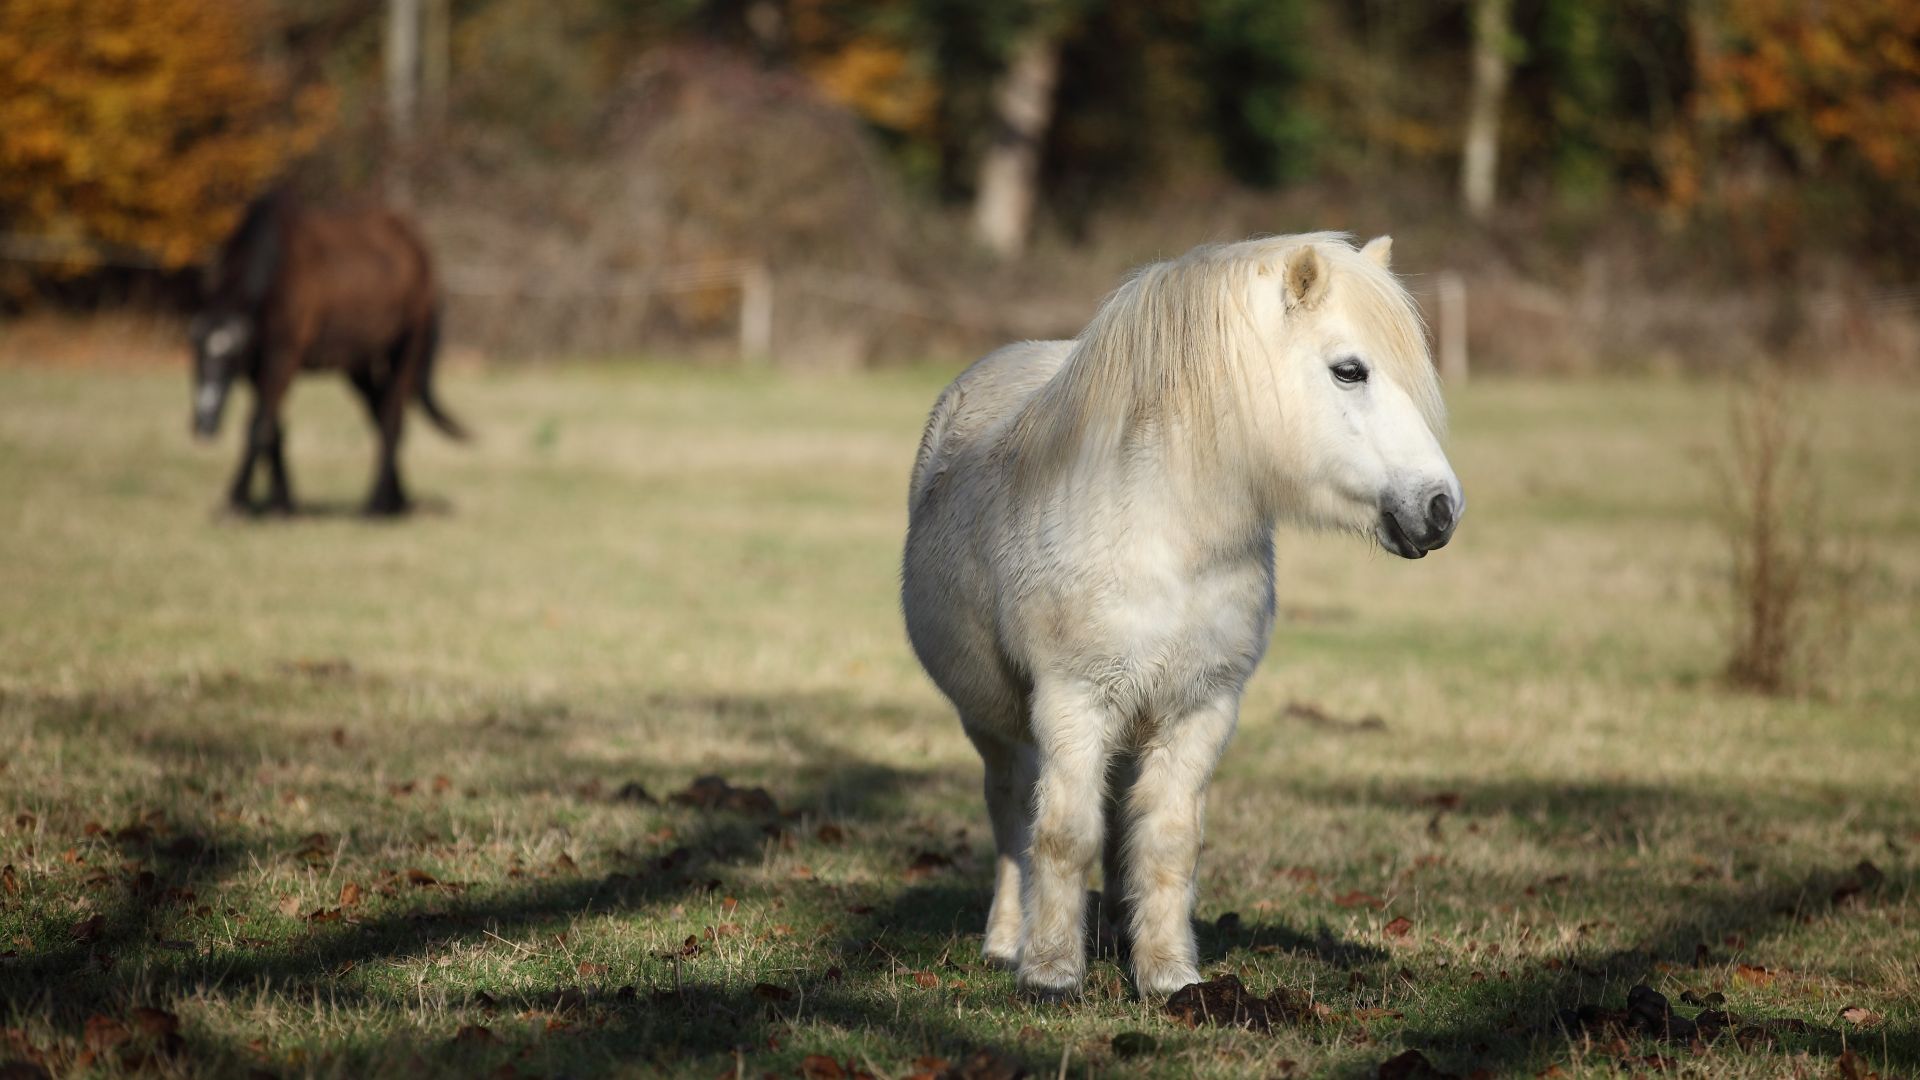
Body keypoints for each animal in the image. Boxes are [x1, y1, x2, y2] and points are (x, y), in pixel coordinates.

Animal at [189, 187, 466, 515]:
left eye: (229, 359)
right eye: (194, 359)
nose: (204, 426)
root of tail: (419, 248)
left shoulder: (283, 356)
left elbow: (259, 426)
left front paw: (237, 500)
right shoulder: (257, 367)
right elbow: (274, 429)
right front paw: (282, 503)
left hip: (407, 348)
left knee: (392, 418)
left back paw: (376, 506)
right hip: (357, 363)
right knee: (381, 413)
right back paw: (394, 501)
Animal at [898, 231, 1451, 999]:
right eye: (1350, 370)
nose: (1441, 508)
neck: (1164, 537)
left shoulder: (1198, 710)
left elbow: (1167, 842)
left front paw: (1167, 974)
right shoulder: (1074, 703)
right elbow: (1063, 835)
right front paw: (1051, 972)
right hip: (998, 727)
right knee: (1014, 820)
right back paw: (1009, 941)